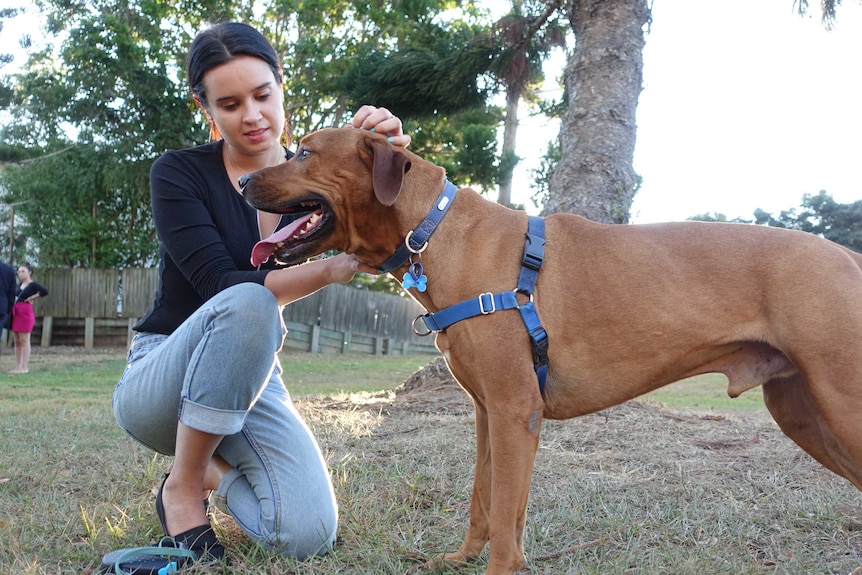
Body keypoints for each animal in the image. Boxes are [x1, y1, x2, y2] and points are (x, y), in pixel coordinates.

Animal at [241, 128, 862, 572]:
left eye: (304, 151)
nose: (243, 180)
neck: (433, 231)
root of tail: (848, 256)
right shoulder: (490, 414)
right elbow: (487, 503)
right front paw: (463, 559)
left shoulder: (516, 411)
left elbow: (503, 519)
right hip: (803, 413)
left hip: (839, 405)